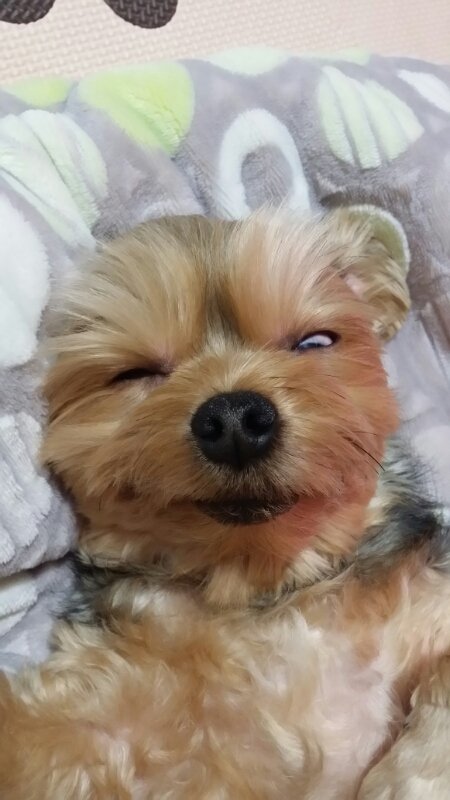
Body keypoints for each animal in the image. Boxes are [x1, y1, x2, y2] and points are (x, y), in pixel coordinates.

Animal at [1, 209, 449, 799]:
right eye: (135, 373)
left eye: (313, 342)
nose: (235, 418)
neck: (263, 587)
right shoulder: (105, 707)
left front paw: (405, 780)